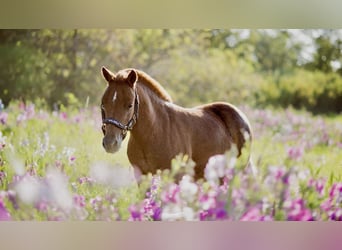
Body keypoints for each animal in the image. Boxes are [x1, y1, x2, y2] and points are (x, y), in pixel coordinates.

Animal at [100, 66, 252, 180]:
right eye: (103, 104)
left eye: (130, 105)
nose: (110, 143)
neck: (154, 131)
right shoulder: (142, 176)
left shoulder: (175, 177)